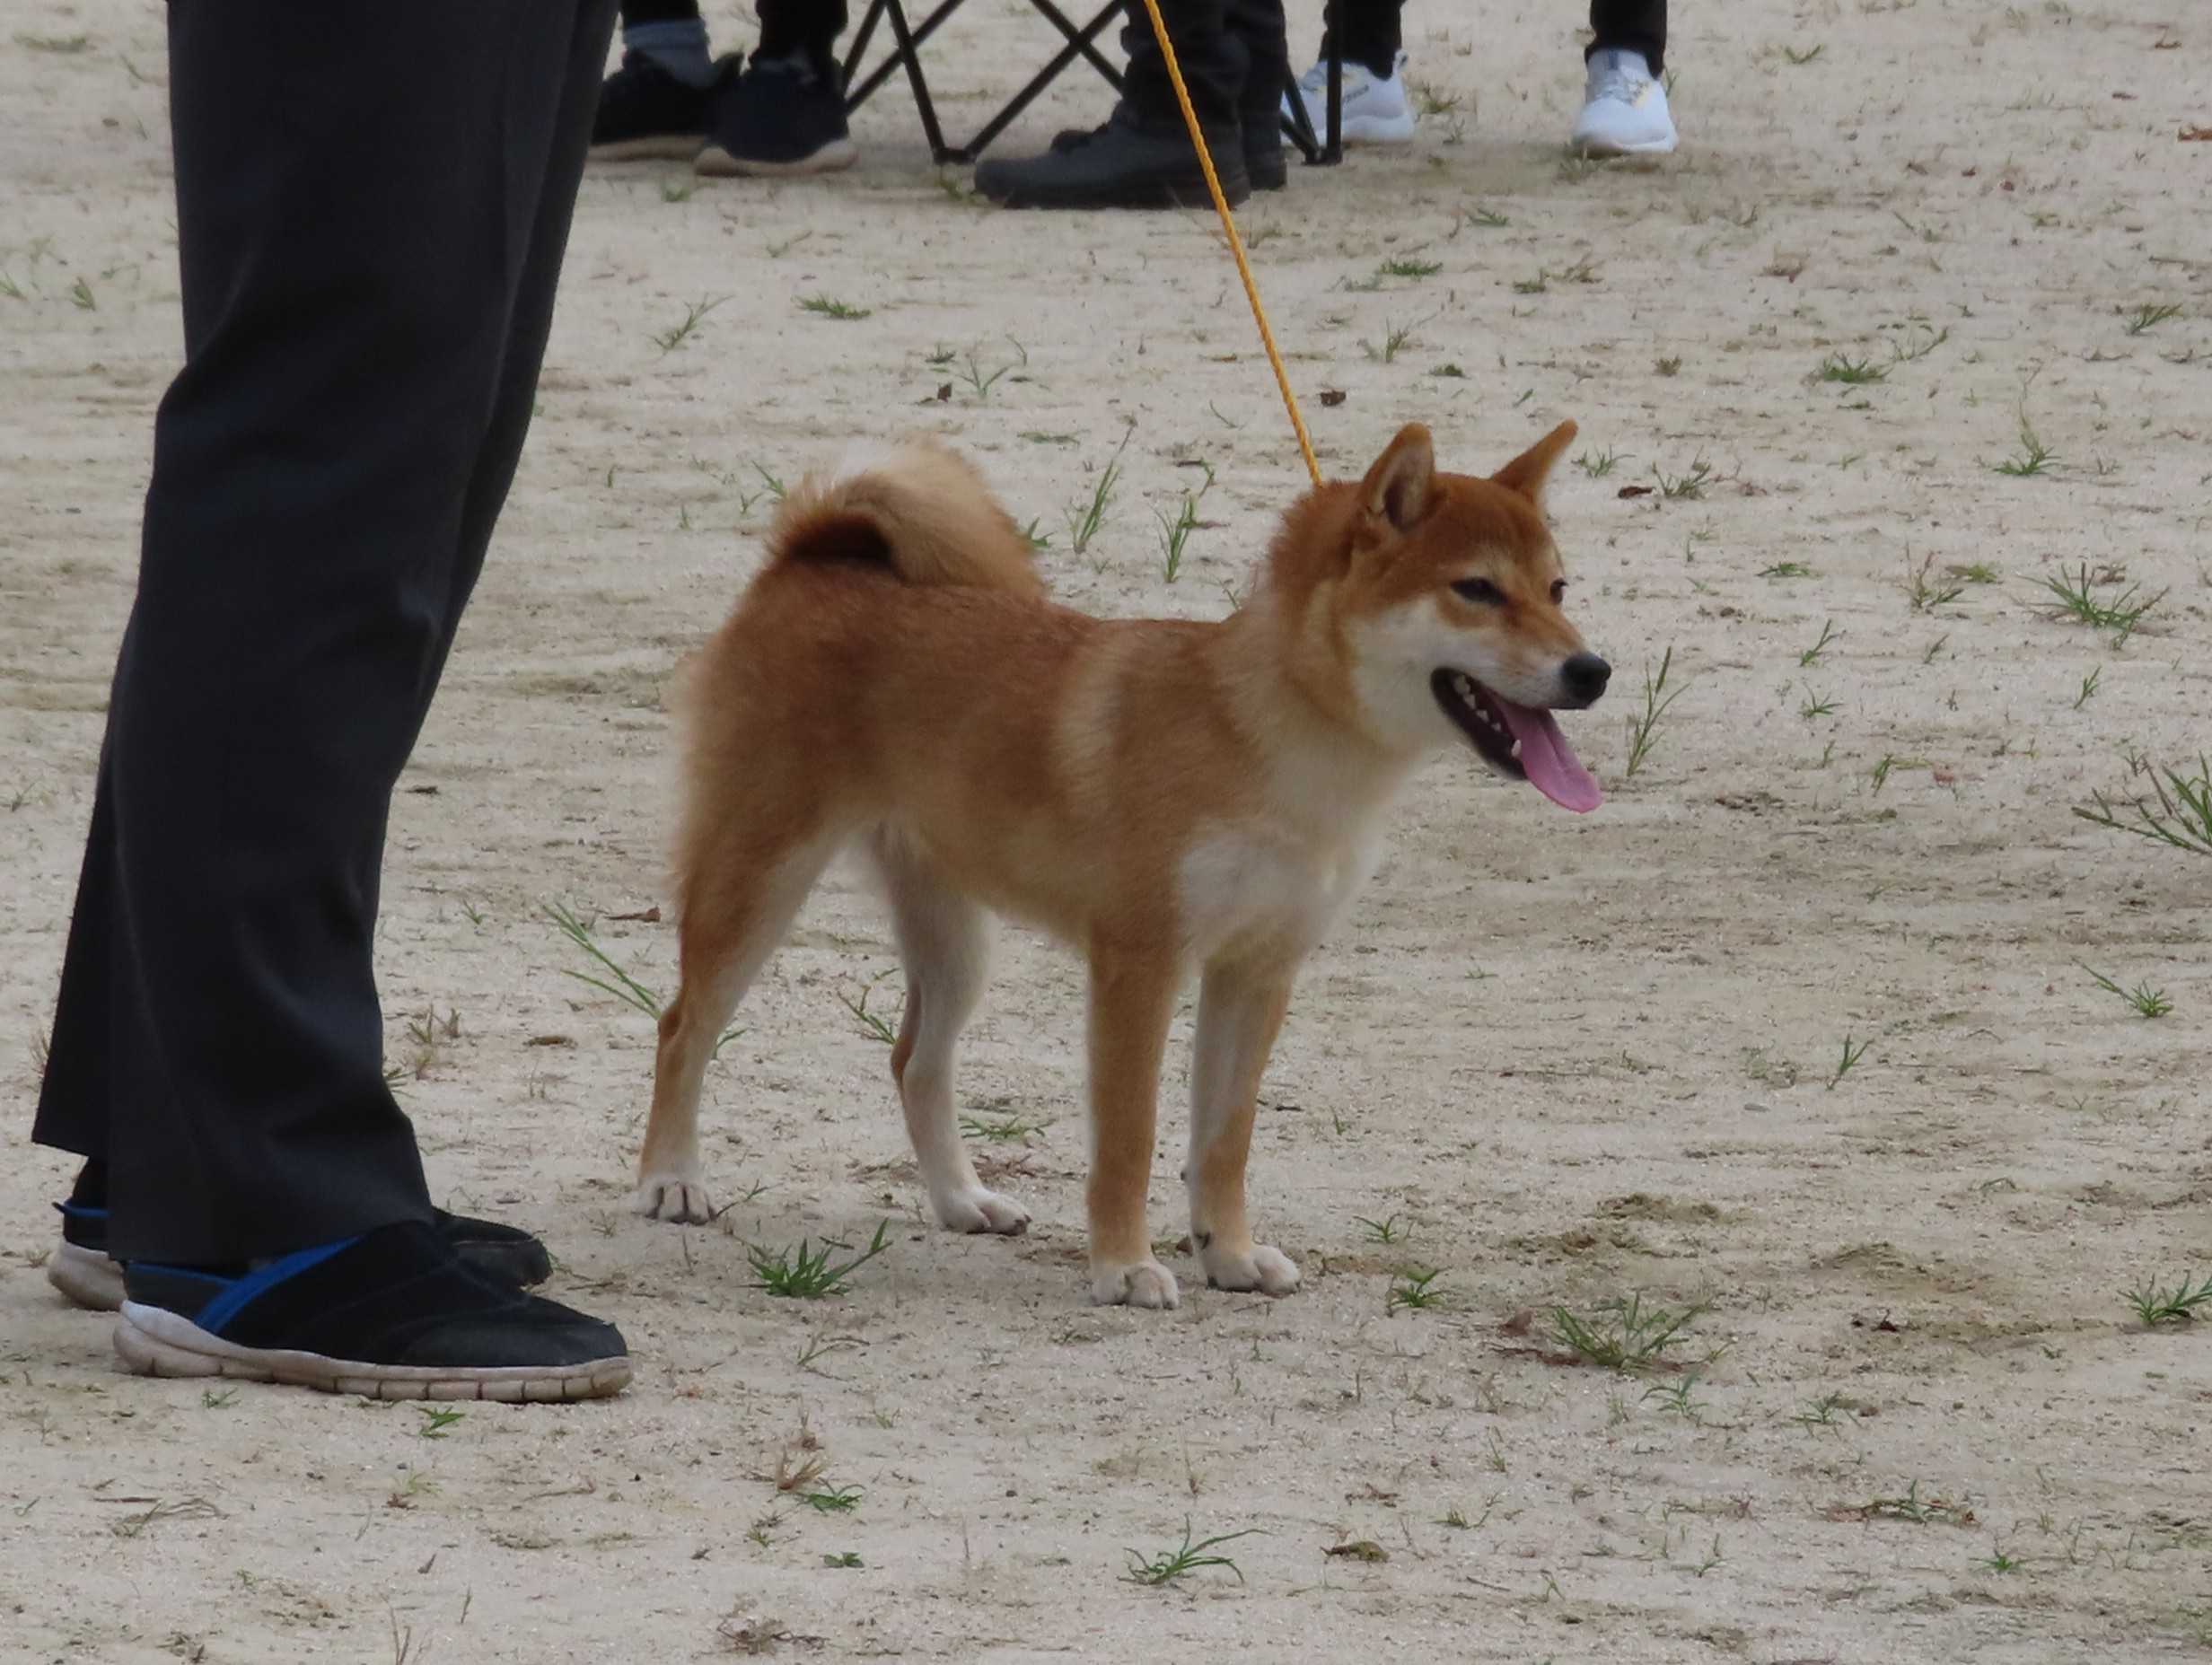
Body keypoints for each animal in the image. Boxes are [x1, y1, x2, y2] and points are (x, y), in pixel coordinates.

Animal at [633, 420, 1609, 1308]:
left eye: (1557, 588)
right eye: (1476, 590)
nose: (1593, 669)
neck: (1271, 738)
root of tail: (810, 562)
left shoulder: (1257, 970)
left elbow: (1224, 1139)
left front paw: (1228, 1254)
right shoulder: (1141, 964)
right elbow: (1132, 1136)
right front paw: (1123, 1267)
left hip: (955, 941)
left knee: (914, 1062)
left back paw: (962, 1199)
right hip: (758, 881)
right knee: (683, 1026)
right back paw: (670, 1179)